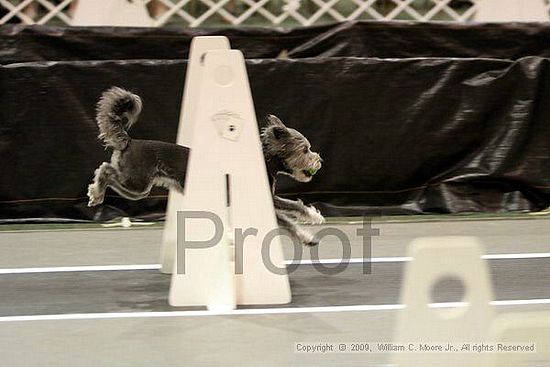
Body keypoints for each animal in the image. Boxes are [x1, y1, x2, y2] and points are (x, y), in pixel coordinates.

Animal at [88, 87, 326, 246]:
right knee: (105, 170)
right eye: (305, 149)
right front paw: (309, 233)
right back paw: (96, 193)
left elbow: (292, 208)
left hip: (137, 187)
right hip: (137, 182)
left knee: (108, 171)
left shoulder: (266, 199)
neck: (264, 161)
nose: (319, 161)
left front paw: (312, 221)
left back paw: (96, 194)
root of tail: (129, 141)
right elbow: (289, 217)